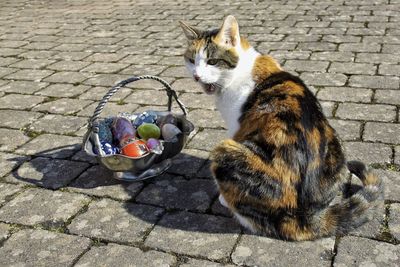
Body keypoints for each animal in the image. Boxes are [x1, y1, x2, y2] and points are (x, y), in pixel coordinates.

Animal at [180, 15, 382, 242]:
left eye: (212, 61)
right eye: (191, 60)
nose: (196, 76)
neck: (240, 71)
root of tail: (301, 216)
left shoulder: (235, 128)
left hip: (225, 149)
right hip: (335, 146)